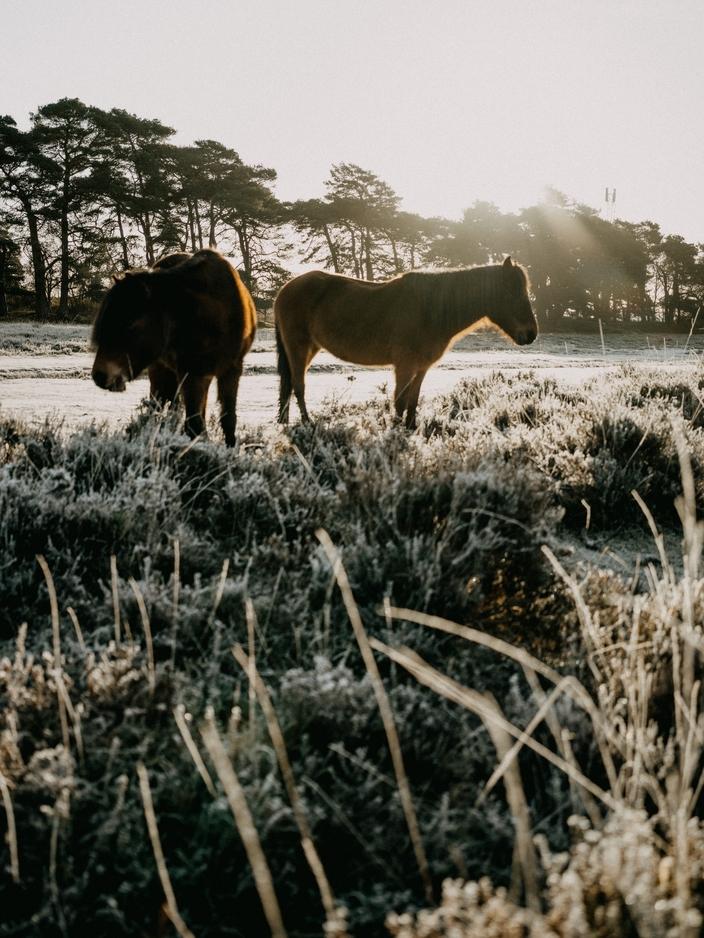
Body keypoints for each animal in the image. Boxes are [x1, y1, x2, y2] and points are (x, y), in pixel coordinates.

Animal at [91, 249, 256, 446]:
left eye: (131, 325)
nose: (99, 375)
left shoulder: (231, 370)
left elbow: (228, 418)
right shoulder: (190, 372)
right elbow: (194, 422)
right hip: (162, 369)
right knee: (159, 404)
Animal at [274, 258, 532, 430]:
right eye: (512, 293)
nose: (530, 334)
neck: (430, 310)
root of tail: (285, 289)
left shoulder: (421, 367)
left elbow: (412, 400)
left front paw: (410, 428)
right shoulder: (404, 366)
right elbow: (399, 401)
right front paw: (396, 432)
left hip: (309, 348)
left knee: (289, 385)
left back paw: (284, 422)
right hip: (298, 347)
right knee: (298, 385)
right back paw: (307, 423)